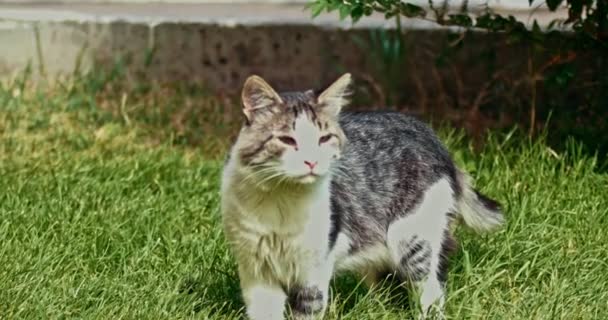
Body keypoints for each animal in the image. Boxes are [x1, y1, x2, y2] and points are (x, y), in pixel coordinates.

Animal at [221, 74, 506, 318]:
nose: (312, 162)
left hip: (413, 240)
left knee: (432, 292)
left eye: (324, 139)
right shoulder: (256, 272)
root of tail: (432, 136)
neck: (280, 202)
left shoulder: (312, 273)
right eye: (287, 140)